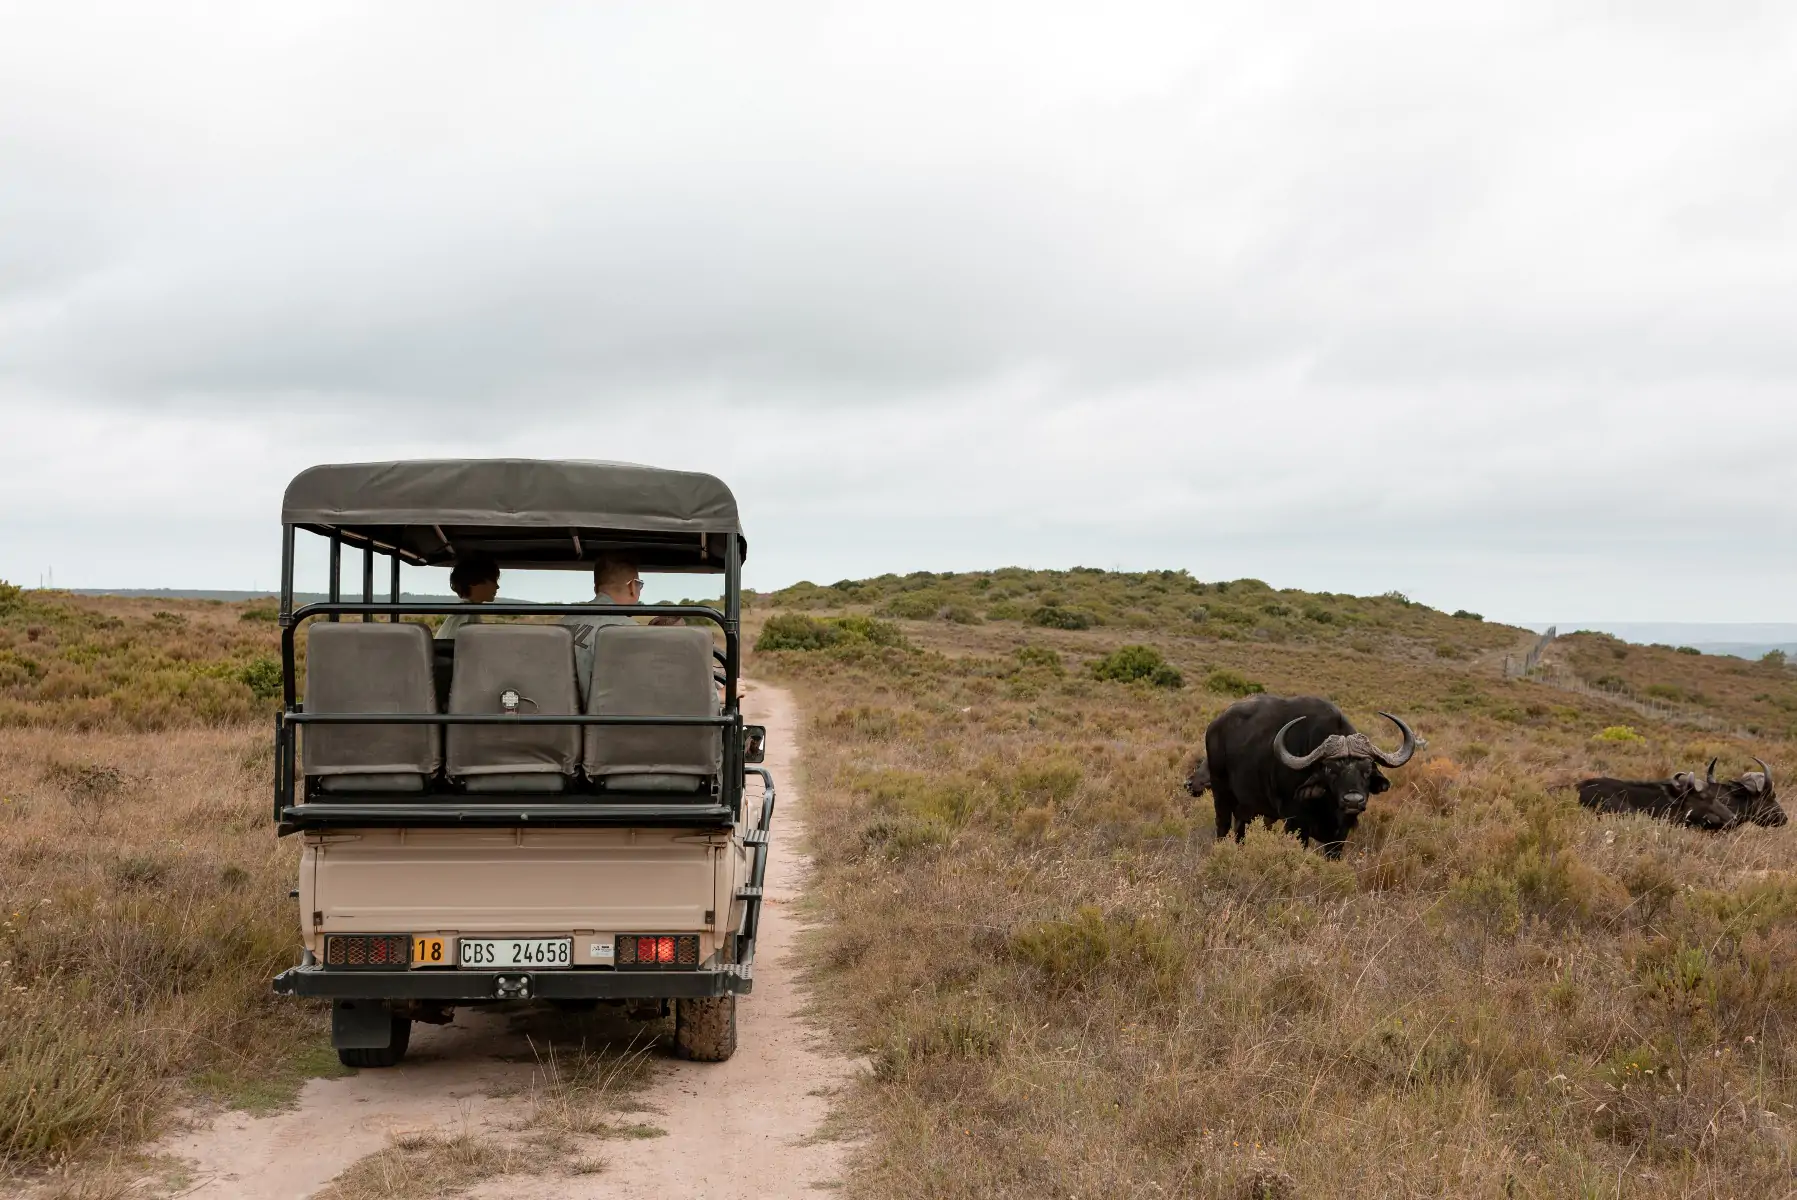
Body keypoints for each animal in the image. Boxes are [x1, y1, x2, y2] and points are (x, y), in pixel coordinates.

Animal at [1193, 697, 1416, 858]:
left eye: (1368, 769)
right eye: (1330, 770)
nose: (1353, 801)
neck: (1327, 804)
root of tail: (1214, 726)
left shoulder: (1339, 834)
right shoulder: (1295, 824)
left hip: (1247, 806)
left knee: (1240, 828)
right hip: (1221, 794)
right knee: (1222, 825)